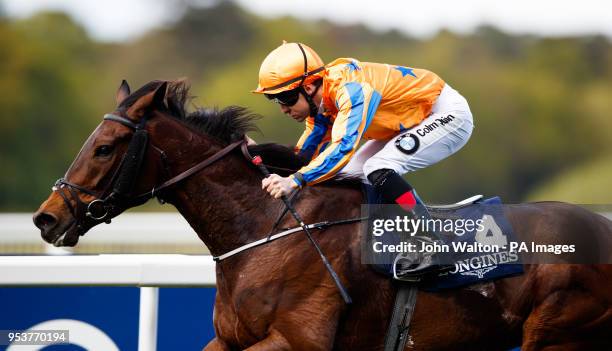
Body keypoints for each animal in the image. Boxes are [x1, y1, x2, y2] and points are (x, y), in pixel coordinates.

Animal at [33, 80, 612, 351]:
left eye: (105, 147)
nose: (46, 218)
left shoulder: (295, 340)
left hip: (557, 333)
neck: (267, 230)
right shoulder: (229, 339)